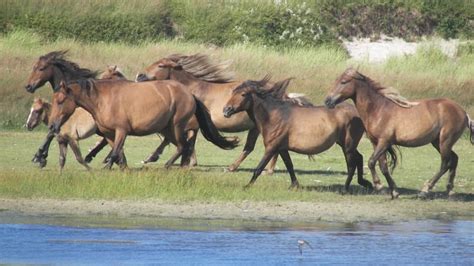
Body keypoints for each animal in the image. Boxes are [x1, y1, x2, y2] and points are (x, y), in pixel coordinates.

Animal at [48, 79, 237, 169]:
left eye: (60, 100)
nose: (51, 126)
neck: (102, 99)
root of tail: (189, 93)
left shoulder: (121, 130)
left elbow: (115, 153)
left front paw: (107, 168)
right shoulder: (109, 134)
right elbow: (119, 154)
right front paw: (123, 169)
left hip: (176, 126)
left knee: (183, 146)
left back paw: (169, 165)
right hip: (167, 129)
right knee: (184, 146)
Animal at [136, 53, 314, 172]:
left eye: (160, 65)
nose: (139, 76)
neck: (192, 90)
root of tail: (284, 95)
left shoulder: (189, 123)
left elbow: (181, 140)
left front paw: (180, 161)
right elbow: (177, 140)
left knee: (253, 147)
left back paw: (248, 168)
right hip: (256, 128)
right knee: (252, 147)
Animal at [222, 76, 370, 190]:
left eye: (243, 94)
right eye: (232, 92)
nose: (226, 110)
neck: (275, 116)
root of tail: (357, 113)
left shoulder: (271, 147)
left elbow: (258, 168)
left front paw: (247, 186)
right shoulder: (282, 148)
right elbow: (290, 166)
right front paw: (295, 185)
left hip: (348, 145)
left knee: (352, 164)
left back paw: (346, 188)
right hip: (345, 144)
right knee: (359, 158)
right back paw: (365, 183)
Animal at [324, 67, 472, 198]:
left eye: (343, 82)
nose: (327, 101)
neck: (378, 109)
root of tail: (463, 112)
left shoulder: (384, 141)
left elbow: (371, 162)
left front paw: (380, 187)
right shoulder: (376, 142)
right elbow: (383, 165)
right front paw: (392, 191)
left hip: (445, 141)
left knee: (445, 163)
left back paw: (425, 190)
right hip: (437, 142)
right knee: (454, 159)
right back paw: (450, 191)